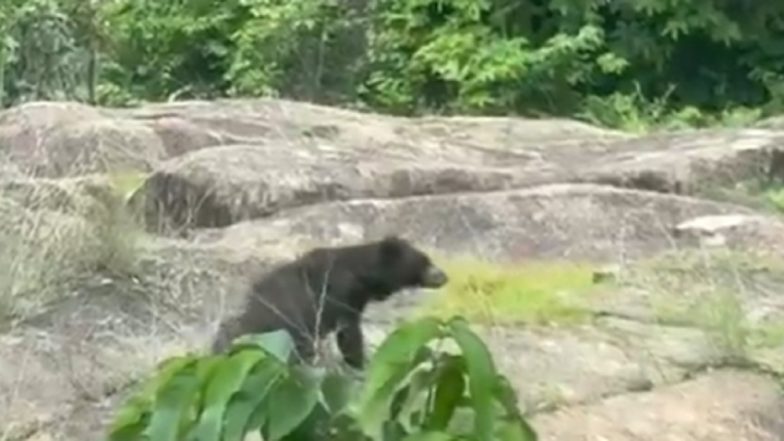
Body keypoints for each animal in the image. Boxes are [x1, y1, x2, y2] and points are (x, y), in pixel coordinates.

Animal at [210, 235, 448, 369]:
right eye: (425, 261)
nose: (444, 276)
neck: (363, 278)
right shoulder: (338, 294)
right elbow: (349, 334)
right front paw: (359, 363)